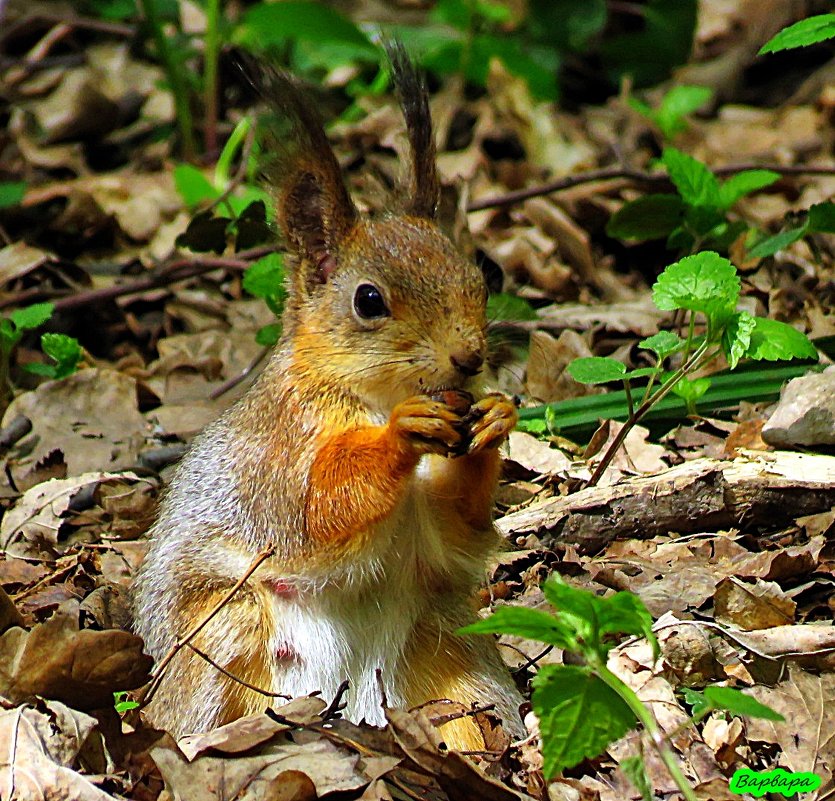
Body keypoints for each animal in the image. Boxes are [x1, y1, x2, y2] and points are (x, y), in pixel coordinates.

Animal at [131, 48, 524, 752]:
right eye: (369, 300)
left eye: (482, 276)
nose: (470, 358)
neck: (377, 395)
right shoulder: (278, 454)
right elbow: (318, 507)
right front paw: (400, 435)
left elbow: (458, 521)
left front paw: (495, 421)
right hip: (227, 643)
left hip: (450, 662)